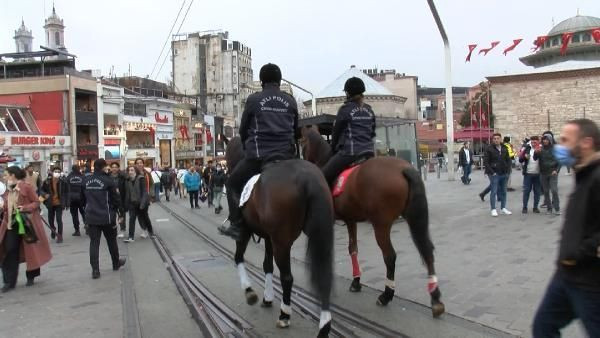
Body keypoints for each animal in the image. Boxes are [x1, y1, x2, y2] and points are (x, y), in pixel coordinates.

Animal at [226, 135, 336, 336]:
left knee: (287, 277)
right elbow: (267, 265)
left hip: (281, 242)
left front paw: (249, 291)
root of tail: (307, 179)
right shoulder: (269, 237)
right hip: (319, 233)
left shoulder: (247, 233)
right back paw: (324, 325)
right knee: (324, 275)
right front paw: (267, 297)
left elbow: (238, 257)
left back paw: (285, 315)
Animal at [302, 127, 442, 316]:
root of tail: (403, 168)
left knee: (390, 256)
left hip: (381, 225)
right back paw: (435, 297)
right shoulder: (350, 220)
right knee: (427, 250)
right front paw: (356, 281)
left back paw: (386, 295)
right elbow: (353, 248)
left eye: (301, 143)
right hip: (414, 218)